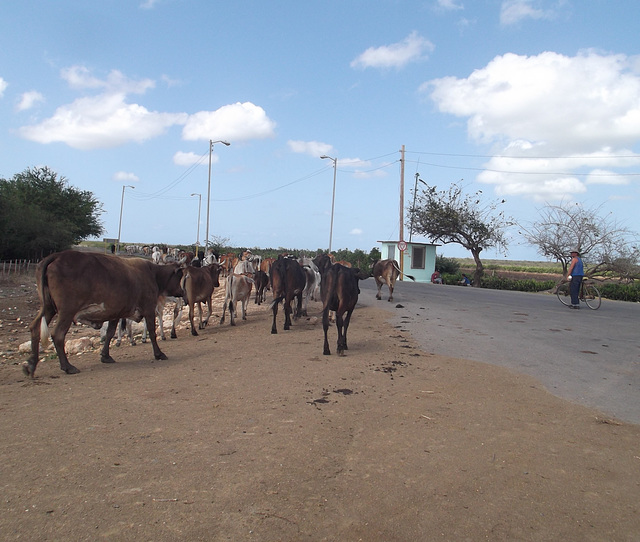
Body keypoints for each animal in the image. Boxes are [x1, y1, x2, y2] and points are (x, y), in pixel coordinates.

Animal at [24, 252, 184, 376]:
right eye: (180, 276)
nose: (183, 292)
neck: (154, 274)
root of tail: (57, 256)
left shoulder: (116, 312)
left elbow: (110, 332)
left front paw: (105, 356)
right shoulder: (148, 308)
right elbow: (151, 331)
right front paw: (159, 353)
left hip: (48, 307)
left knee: (35, 328)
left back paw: (31, 363)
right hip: (67, 311)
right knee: (58, 334)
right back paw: (67, 367)